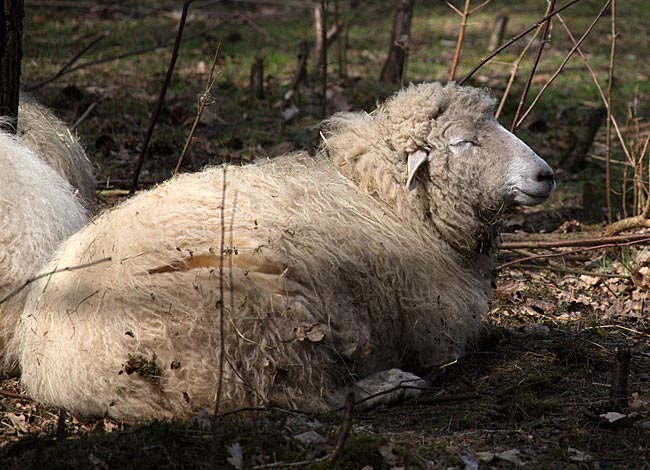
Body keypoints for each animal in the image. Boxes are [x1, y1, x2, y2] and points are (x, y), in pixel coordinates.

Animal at [13, 82, 552, 420]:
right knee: (306, 399)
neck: (383, 199)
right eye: (463, 143)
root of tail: (54, 368)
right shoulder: (434, 330)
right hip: (265, 323)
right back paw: (392, 385)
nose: (546, 174)